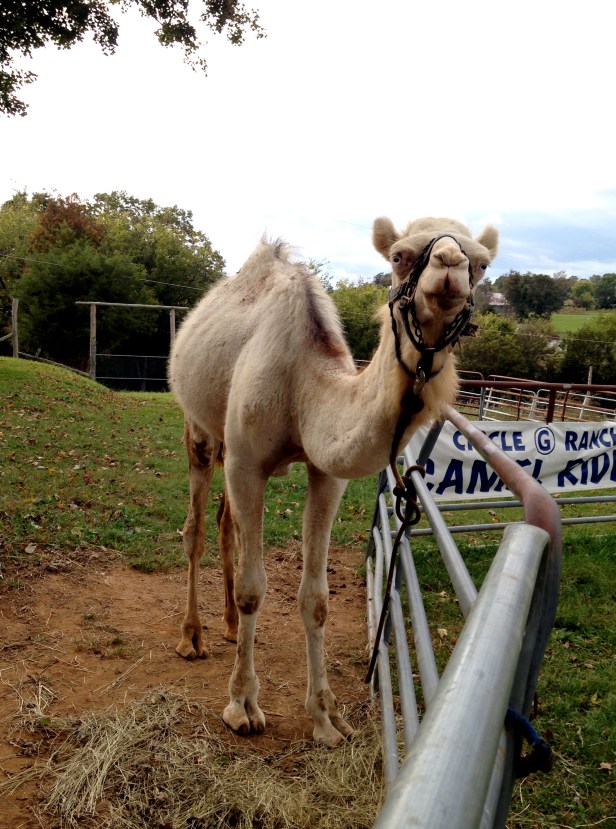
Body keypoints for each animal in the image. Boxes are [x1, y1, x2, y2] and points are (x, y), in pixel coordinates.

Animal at [168, 216, 498, 746]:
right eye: (399, 256)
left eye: (483, 264)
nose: (448, 266)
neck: (304, 386)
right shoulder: (247, 461)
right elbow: (253, 588)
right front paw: (242, 706)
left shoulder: (326, 473)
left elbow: (316, 598)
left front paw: (326, 717)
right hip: (200, 428)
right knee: (196, 529)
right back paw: (192, 636)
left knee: (225, 525)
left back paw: (229, 627)